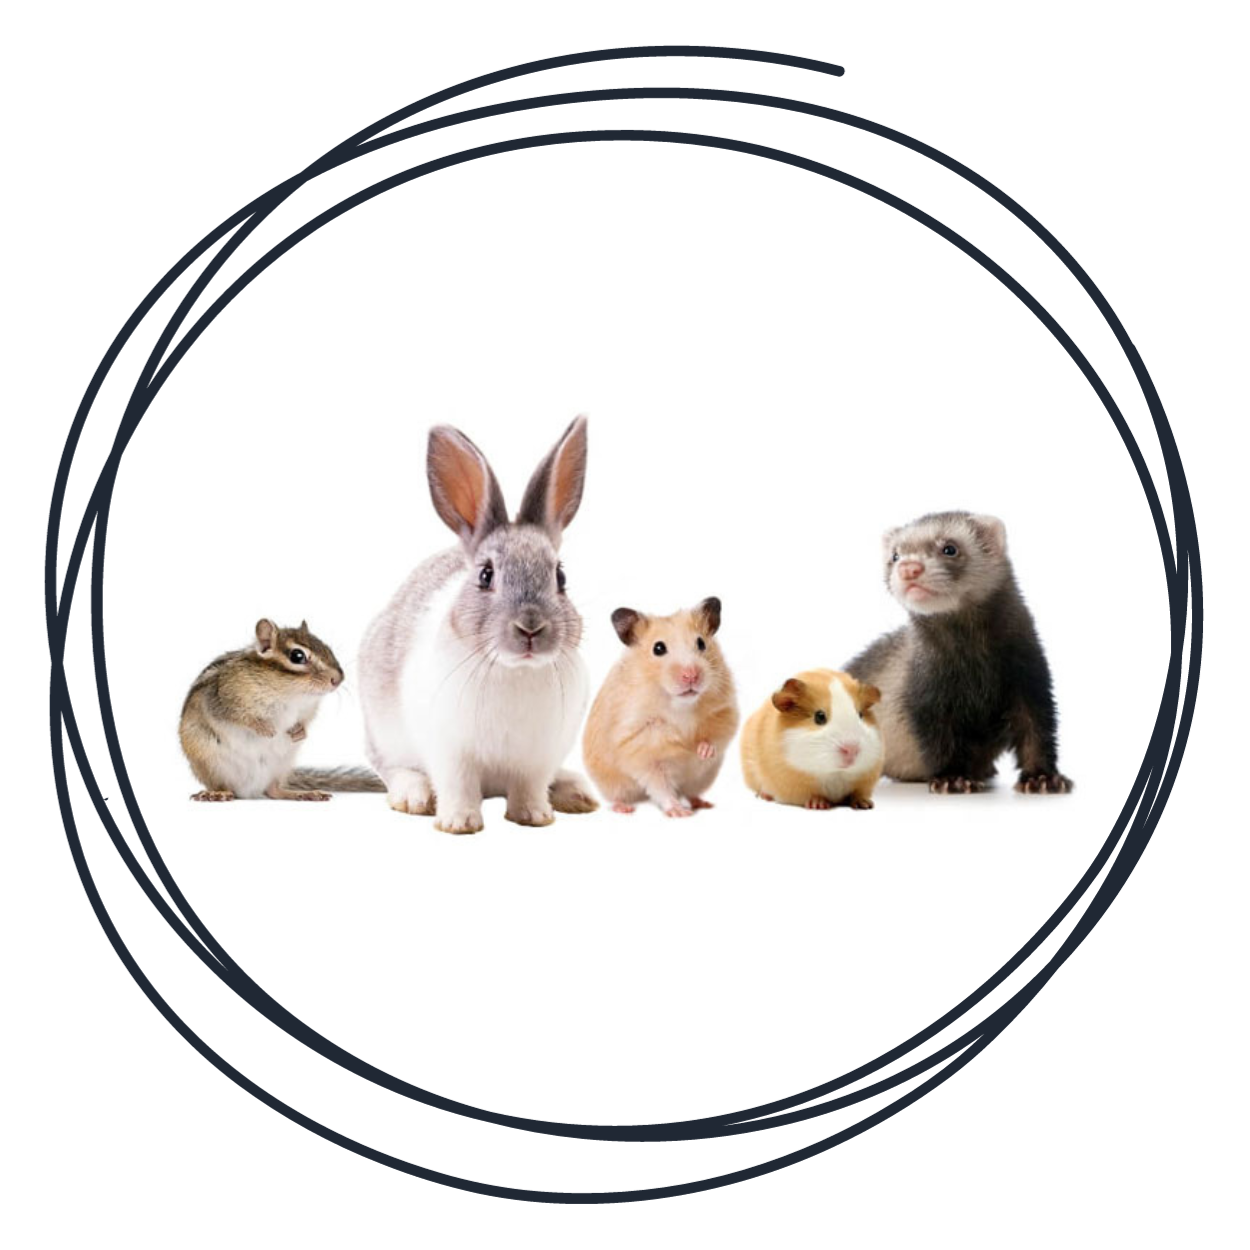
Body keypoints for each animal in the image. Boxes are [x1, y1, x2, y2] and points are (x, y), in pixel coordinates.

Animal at [358, 417, 599, 833]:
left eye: (560, 576)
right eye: (486, 575)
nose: (530, 628)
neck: (515, 670)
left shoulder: (538, 757)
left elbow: (530, 787)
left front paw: (535, 816)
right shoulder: (451, 752)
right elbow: (458, 785)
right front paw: (458, 823)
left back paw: (576, 793)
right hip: (384, 733)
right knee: (393, 768)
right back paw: (413, 795)